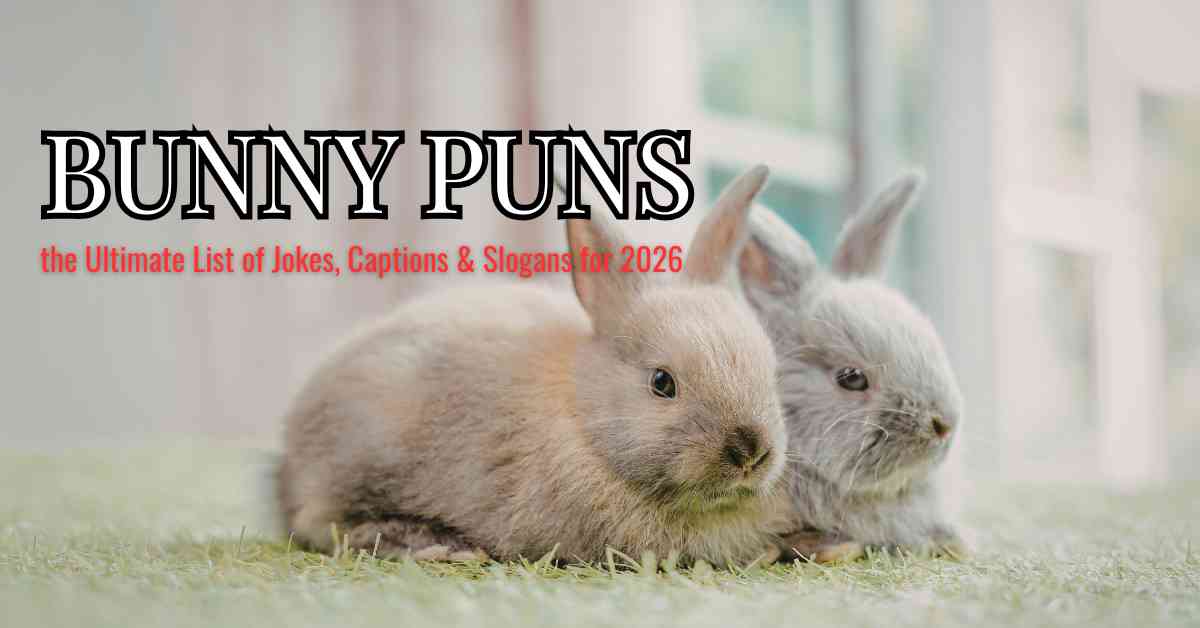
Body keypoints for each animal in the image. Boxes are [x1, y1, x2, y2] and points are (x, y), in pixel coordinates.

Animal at [277, 165, 790, 565]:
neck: (583, 419)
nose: (750, 452)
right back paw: (437, 545)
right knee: (325, 523)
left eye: (770, 373)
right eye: (662, 383)